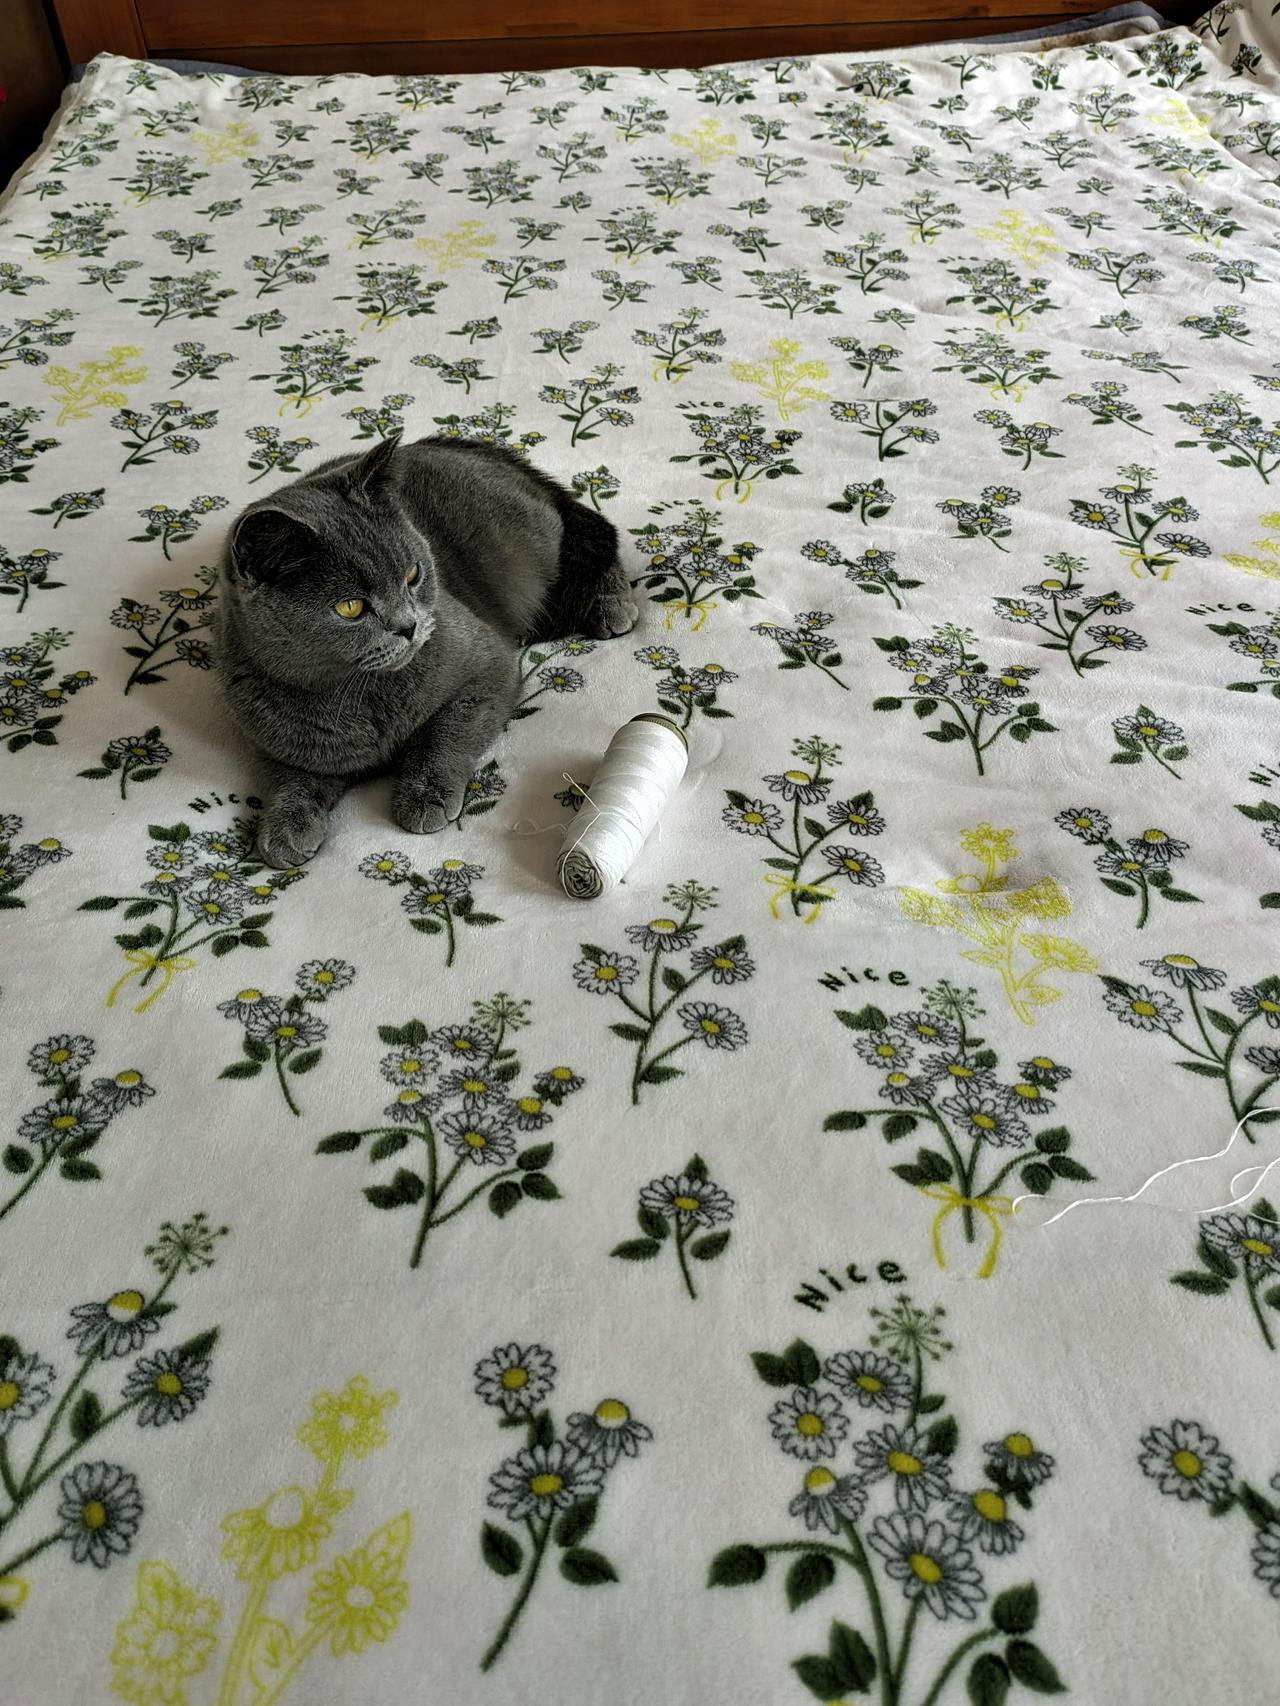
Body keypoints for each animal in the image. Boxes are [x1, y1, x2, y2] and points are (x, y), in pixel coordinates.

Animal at [215, 432, 637, 868]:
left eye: (413, 575)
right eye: (350, 607)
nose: (409, 626)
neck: (364, 694)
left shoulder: (487, 666)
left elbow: (444, 732)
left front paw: (425, 794)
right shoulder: (277, 744)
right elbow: (291, 780)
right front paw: (285, 828)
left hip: (532, 548)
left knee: (594, 536)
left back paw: (610, 605)